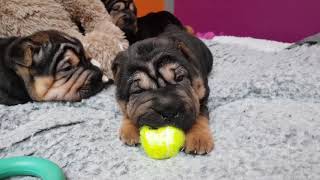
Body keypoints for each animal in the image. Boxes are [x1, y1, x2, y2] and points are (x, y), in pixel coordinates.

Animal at [112, 25, 215, 155]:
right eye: (139, 91)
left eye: (179, 78)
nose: (169, 111)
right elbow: (126, 110)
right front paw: (129, 129)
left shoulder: (203, 93)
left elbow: (200, 113)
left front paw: (198, 138)